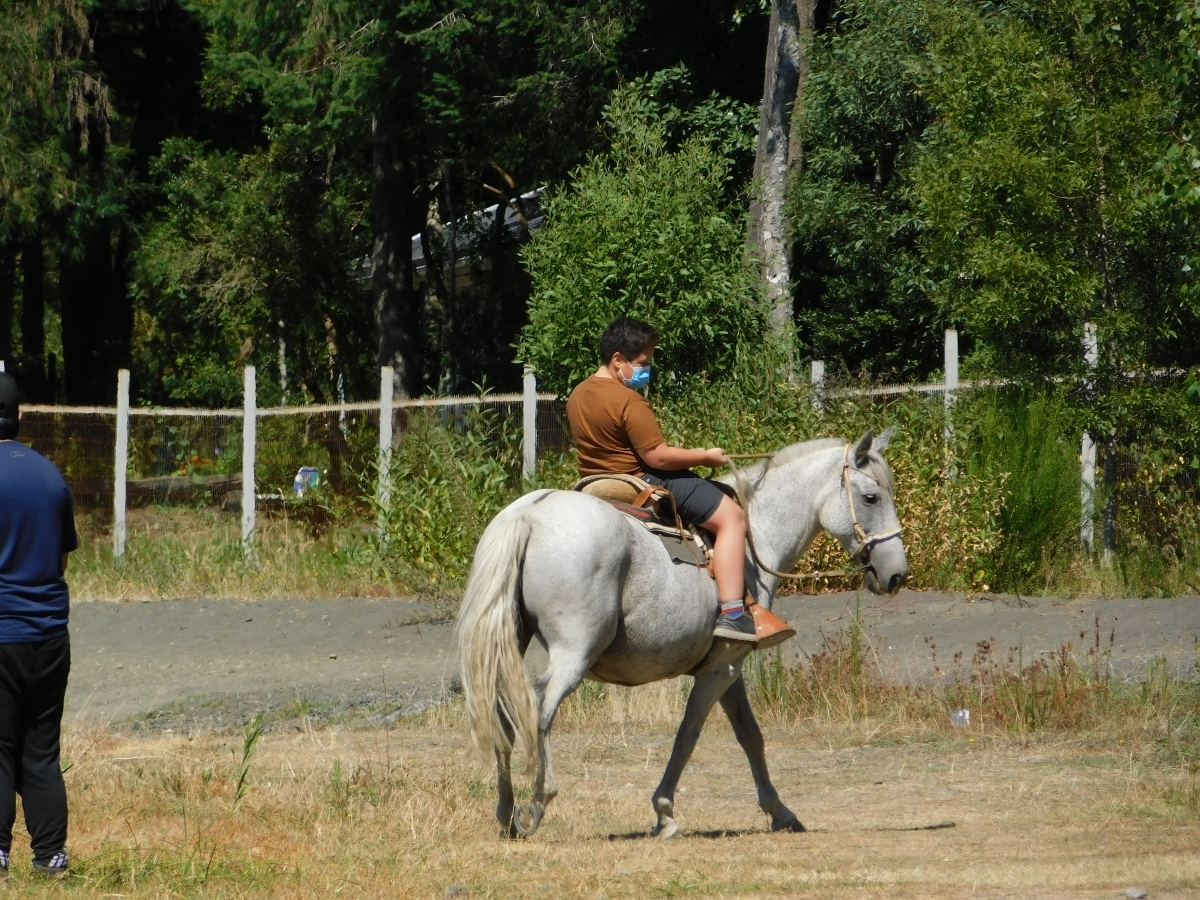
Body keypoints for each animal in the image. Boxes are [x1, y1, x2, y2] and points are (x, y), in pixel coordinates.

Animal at [453, 429, 902, 840]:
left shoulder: (728, 665)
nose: (896, 574)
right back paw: (538, 802)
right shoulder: (720, 670)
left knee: (503, 713)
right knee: (538, 706)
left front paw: (780, 812)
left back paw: (507, 813)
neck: (755, 536)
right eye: (871, 498)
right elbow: (688, 736)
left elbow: (749, 735)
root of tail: (530, 514)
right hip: (573, 653)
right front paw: (665, 814)